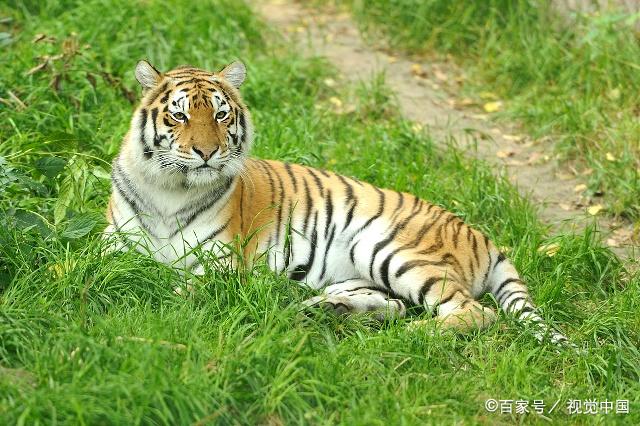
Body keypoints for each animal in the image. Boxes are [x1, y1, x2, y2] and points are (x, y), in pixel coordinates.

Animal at [105, 60, 569, 345]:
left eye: (221, 115)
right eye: (179, 115)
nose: (206, 152)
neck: (170, 189)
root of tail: (481, 235)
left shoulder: (222, 264)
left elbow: (179, 289)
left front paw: (158, 299)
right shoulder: (114, 248)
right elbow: (122, 275)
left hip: (390, 249)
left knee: (473, 313)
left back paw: (403, 336)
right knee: (392, 304)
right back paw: (325, 311)